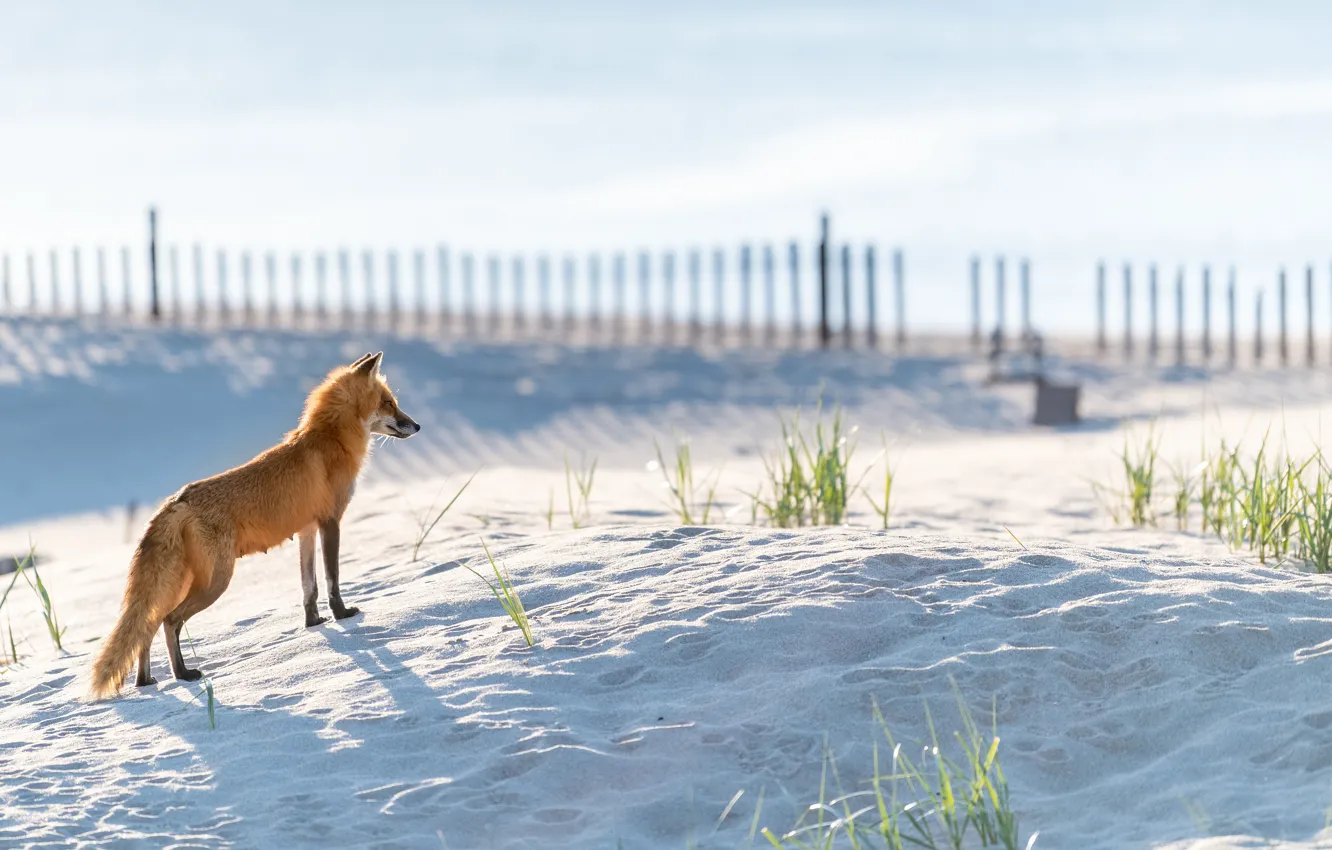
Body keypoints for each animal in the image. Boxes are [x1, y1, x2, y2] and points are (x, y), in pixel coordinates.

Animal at [87, 351, 419, 700]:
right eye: (389, 403)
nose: (417, 425)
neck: (330, 440)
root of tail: (176, 501)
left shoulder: (307, 528)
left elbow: (309, 586)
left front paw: (313, 623)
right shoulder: (331, 522)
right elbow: (333, 581)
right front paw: (341, 615)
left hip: (182, 582)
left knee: (146, 629)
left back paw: (145, 681)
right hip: (215, 582)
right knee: (169, 621)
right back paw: (182, 674)